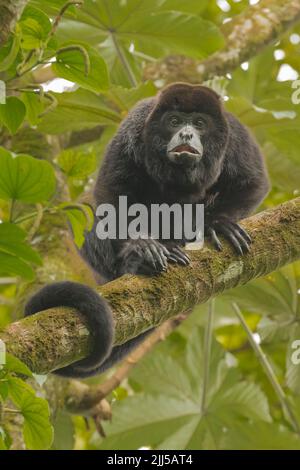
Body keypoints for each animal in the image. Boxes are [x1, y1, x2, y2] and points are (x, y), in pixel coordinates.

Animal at [25, 83, 270, 378]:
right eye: (174, 121)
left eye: (199, 124)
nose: (186, 133)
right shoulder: (132, 127)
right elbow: (112, 193)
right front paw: (141, 248)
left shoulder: (236, 135)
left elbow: (252, 181)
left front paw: (220, 223)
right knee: (84, 212)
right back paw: (144, 258)